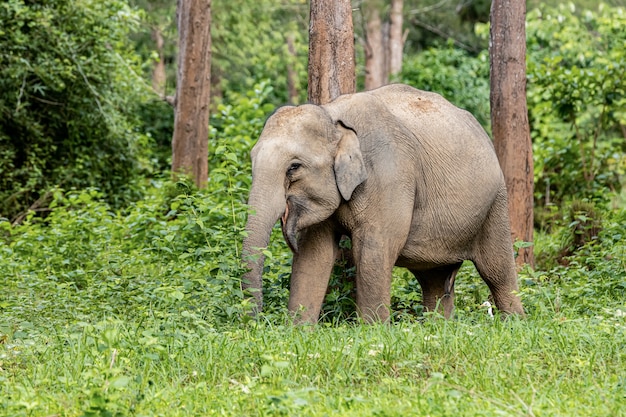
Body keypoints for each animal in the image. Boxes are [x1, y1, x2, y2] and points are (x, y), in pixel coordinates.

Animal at [241, 83, 524, 324]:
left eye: (294, 167)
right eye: (251, 161)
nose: (255, 322)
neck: (333, 116)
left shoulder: (389, 177)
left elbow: (374, 249)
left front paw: (372, 332)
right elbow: (314, 256)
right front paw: (298, 331)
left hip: (496, 201)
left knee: (497, 270)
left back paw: (514, 324)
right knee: (435, 281)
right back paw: (439, 328)